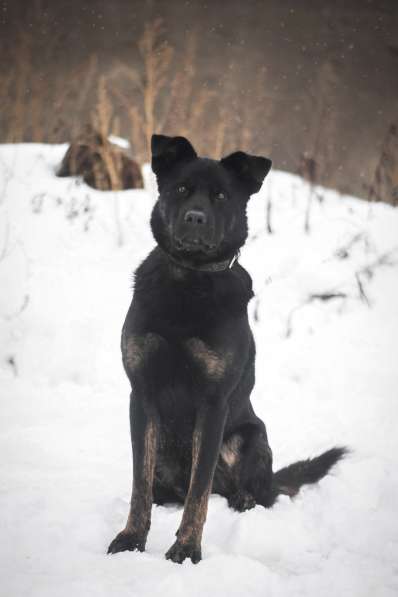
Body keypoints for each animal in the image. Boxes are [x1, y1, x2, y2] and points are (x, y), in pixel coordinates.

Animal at [108, 134, 346, 564]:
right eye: (181, 189)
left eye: (221, 196)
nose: (195, 218)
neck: (189, 280)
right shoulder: (142, 395)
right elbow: (139, 484)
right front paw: (132, 538)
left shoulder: (213, 403)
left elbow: (199, 490)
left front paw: (186, 548)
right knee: (165, 488)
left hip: (249, 437)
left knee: (250, 491)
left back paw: (244, 499)